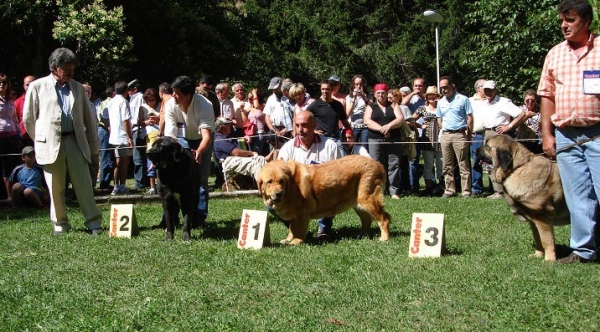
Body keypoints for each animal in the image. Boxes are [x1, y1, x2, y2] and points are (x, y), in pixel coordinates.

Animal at [256, 155, 390, 244]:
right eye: (269, 182)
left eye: (281, 181)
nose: (278, 193)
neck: (291, 184)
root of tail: (378, 164)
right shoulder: (295, 216)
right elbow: (291, 229)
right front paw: (288, 239)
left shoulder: (302, 213)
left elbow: (299, 230)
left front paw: (296, 241)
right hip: (358, 204)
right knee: (367, 220)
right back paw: (361, 236)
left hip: (368, 200)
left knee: (384, 219)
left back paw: (384, 238)